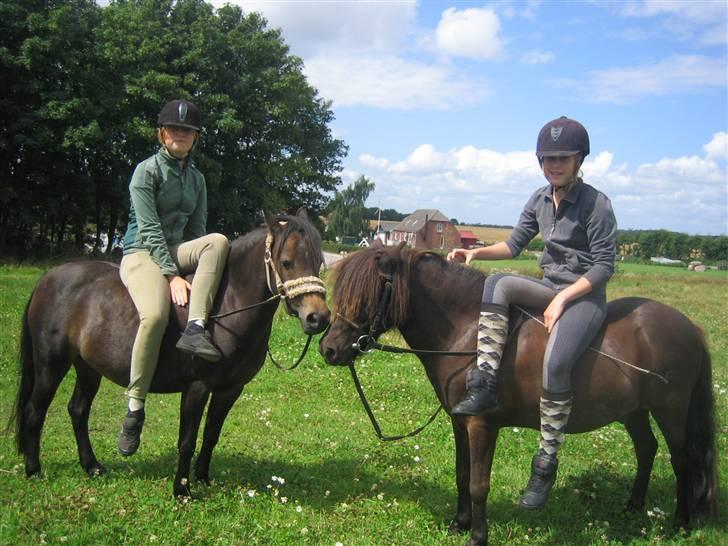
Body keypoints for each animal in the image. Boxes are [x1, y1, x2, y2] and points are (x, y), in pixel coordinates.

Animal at [13, 208, 330, 498]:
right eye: (286, 262)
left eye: (319, 263)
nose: (319, 318)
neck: (225, 305)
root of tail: (49, 278)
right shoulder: (197, 387)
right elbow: (187, 440)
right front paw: (182, 490)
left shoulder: (230, 389)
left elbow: (211, 435)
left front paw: (203, 478)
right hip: (50, 365)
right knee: (34, 411)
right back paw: (34, 470)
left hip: (88, 367)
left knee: (78, 411)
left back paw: (91, 466)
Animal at [322, 244, 720, 544]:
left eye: (366, 294)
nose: (329, 349)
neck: (469, 333)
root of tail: (689, 326)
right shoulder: (459, 422)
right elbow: (462, 474)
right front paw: (459, 523)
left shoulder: (482, 425)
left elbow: (479, 483)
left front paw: (477, 536)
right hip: (634, 410)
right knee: (646, 449)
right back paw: (633, 507)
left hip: (671, 410)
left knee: (682, 460)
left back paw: (681, 521)